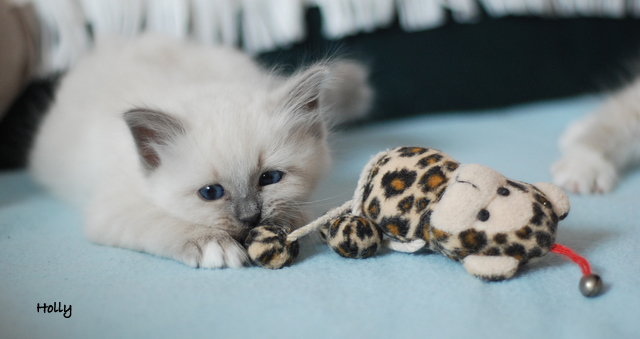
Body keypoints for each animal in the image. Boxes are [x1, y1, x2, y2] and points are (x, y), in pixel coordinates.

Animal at [28, 34, 370, 268]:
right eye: (210, 193)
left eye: (270, 178)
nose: (251, 217)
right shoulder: (113, 209)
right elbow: (164, 221)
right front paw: (212, 245)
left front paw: (292, 218)